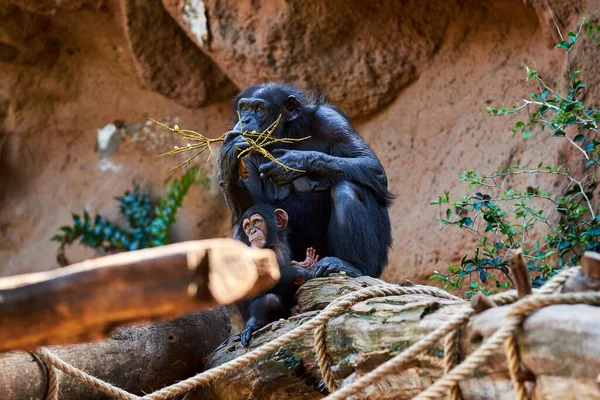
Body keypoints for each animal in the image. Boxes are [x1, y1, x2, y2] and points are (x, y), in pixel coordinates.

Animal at [218, 83, 392, 280]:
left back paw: (349, 265)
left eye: (259, 109)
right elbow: (250, 208)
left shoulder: (332, 122)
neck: (289, 133)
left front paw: (292, 162)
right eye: (244, 108)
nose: (246, 120)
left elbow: (370, 164)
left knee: (348, 188)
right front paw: (227, 157)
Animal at [236, 205, 318, 346]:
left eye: (257, 222)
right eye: (247, 226)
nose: (252, 231)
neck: (273, 244)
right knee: (269, 299)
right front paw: (301, 271)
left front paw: (308, 263)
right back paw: (253, 325)